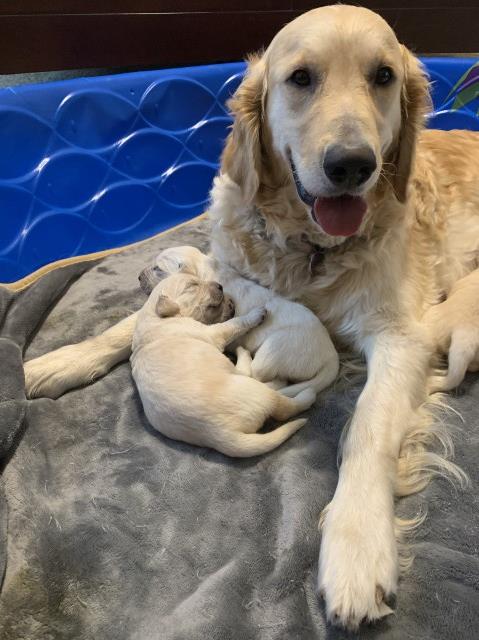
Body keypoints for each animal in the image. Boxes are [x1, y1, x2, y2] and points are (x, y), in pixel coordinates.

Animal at [131, 268, 318, 458]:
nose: (220, 286)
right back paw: (302, 392)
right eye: (192, 285)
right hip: (256, 392)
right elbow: (234, 323)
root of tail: (221, 435)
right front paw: (255, 313)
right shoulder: (213, 333)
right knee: (282, 404)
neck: (156, 317)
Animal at [156, 245, 340, 396]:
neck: (202, 269)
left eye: (157, 268)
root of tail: (331, 356)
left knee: (262, 375)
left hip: (276, 350)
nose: (142, 275)